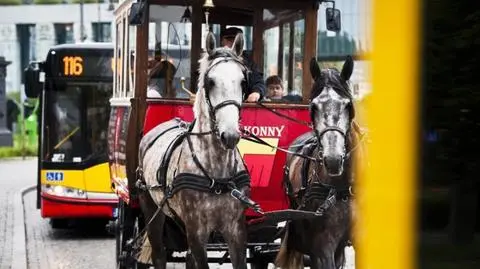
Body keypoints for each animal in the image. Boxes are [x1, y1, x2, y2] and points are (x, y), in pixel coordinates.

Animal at [136, 31, 251, 268]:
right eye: (210, 81)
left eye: (243, 81)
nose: (230, 135)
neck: (216, 174)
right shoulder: (196, 230)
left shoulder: (236, 230)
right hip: (151, 207)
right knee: (159, 253)